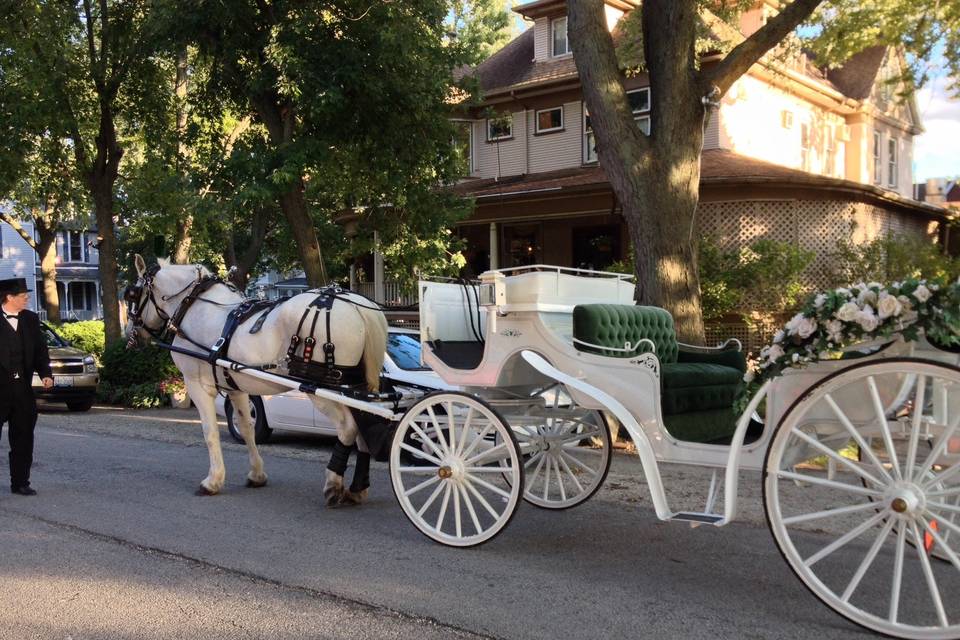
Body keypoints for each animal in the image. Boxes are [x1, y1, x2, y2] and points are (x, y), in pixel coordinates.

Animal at [124, 256, 386, 504]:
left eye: (132, 294)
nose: (130, 335)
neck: (195, 306)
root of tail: (358, 306)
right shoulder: (235, 387)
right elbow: (247, 427)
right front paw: (257, 474)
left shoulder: (197, 385)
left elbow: (210, 432)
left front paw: (213, 481)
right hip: (354, 387)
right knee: (362, 433)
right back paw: (357, 489)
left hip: (323, 388)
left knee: (347, 429)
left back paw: (333, 484)